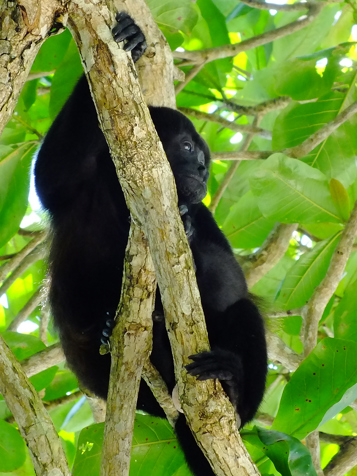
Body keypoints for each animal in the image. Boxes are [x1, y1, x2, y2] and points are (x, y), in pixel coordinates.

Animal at [34, 11, 268, 476]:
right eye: (187, 147)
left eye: (206, 160)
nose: (204, 169)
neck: (118, 197)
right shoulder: (75, 187)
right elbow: (47, 170)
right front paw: (130, 40)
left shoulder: (204, 209)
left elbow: (231, 281)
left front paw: (187, 230)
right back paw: (108, 329)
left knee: (245, 309)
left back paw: (232, 385)